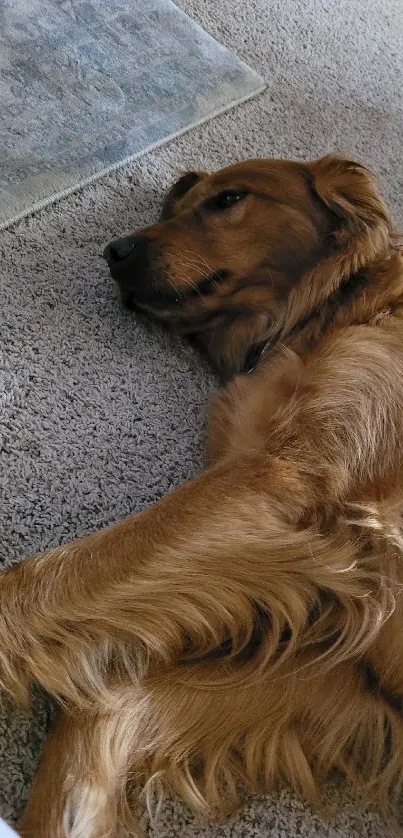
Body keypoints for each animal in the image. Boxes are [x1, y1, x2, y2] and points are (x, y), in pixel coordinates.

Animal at [0, 154, 403, 836]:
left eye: (229, 199)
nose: (115, 251)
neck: (331, 310)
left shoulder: (280, 483)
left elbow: (46, 578)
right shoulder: (348, 668)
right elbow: (107, 699)